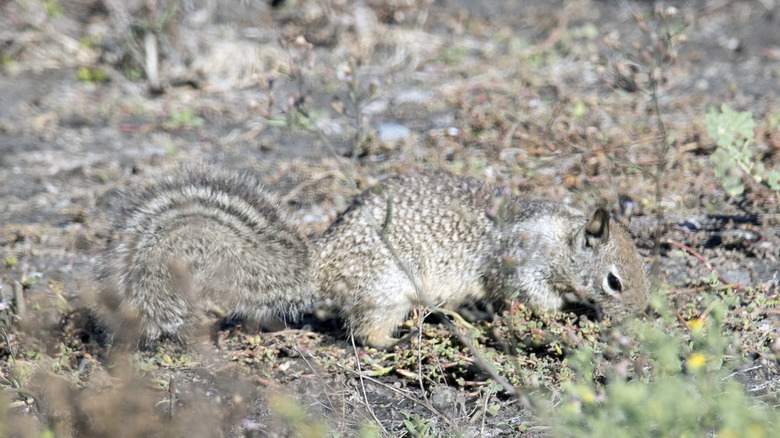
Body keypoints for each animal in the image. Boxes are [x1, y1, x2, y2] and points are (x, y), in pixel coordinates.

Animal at [97, 168, 650, 348]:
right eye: (615, 281)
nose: (641, 317)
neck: (559, 238)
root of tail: (319, 261)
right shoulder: (521, 268)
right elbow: (531, 300)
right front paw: (568, 316)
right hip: (388, 291)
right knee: (365, 332)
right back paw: (401, 339)